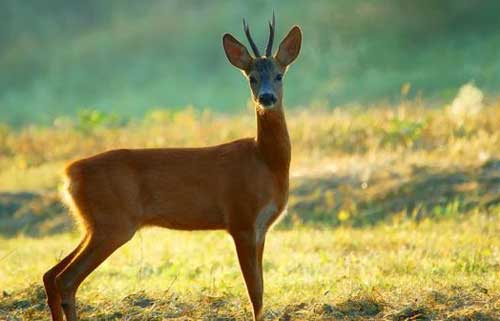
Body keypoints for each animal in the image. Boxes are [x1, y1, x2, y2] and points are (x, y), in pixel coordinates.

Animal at [43, 13, 300, 320]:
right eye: (252, 77)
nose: (266, 98)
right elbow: (255, 293)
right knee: (65, 279)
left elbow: (260, 289)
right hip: (113, 224)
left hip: (92, 224)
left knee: (50, 274)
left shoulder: (260, 228)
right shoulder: (241, 220)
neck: (266, 162)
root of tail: (69, 174)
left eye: (279, 75)